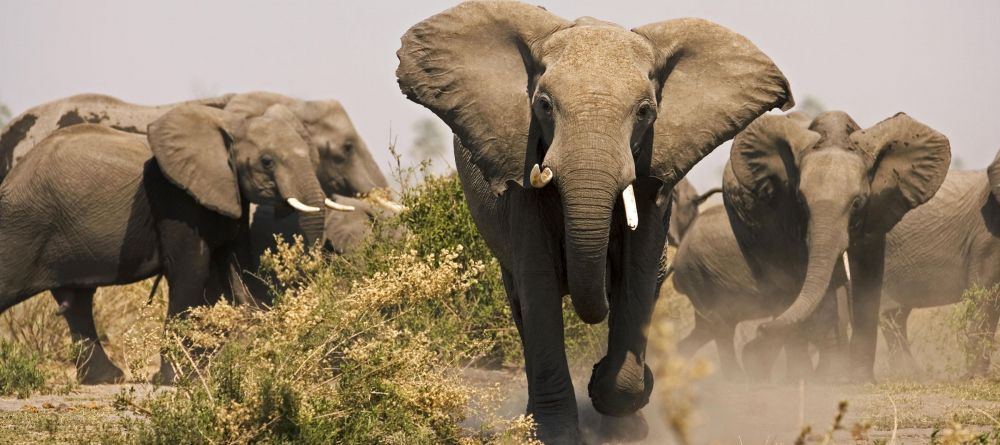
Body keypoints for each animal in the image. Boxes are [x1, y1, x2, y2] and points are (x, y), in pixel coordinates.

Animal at [0, 103, 332, 382]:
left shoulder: (228, 196)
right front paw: (179, 380)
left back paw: (107, 380)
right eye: (267, 162)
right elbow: (191, 273)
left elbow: (237, 270)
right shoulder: (176, 200)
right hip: (23, 224)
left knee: (78, 302)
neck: (229, 123)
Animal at [394, 2, 792, 440]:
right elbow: (539, 283)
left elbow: (637, 275)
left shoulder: (652, 172)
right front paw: (556, 434)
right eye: (544, 105)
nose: (598, 370)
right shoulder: (522, 171)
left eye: (645, 112)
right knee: (520, 300)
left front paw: (622, 414)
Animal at [668, 110, 948, 382]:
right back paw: (792, 375)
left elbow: (868, 276)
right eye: (801, 201)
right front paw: (831, 377)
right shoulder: (787, 215)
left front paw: (860, 379)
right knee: (766, 293)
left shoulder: (878, 208)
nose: (759, 333)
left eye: (857, 202)